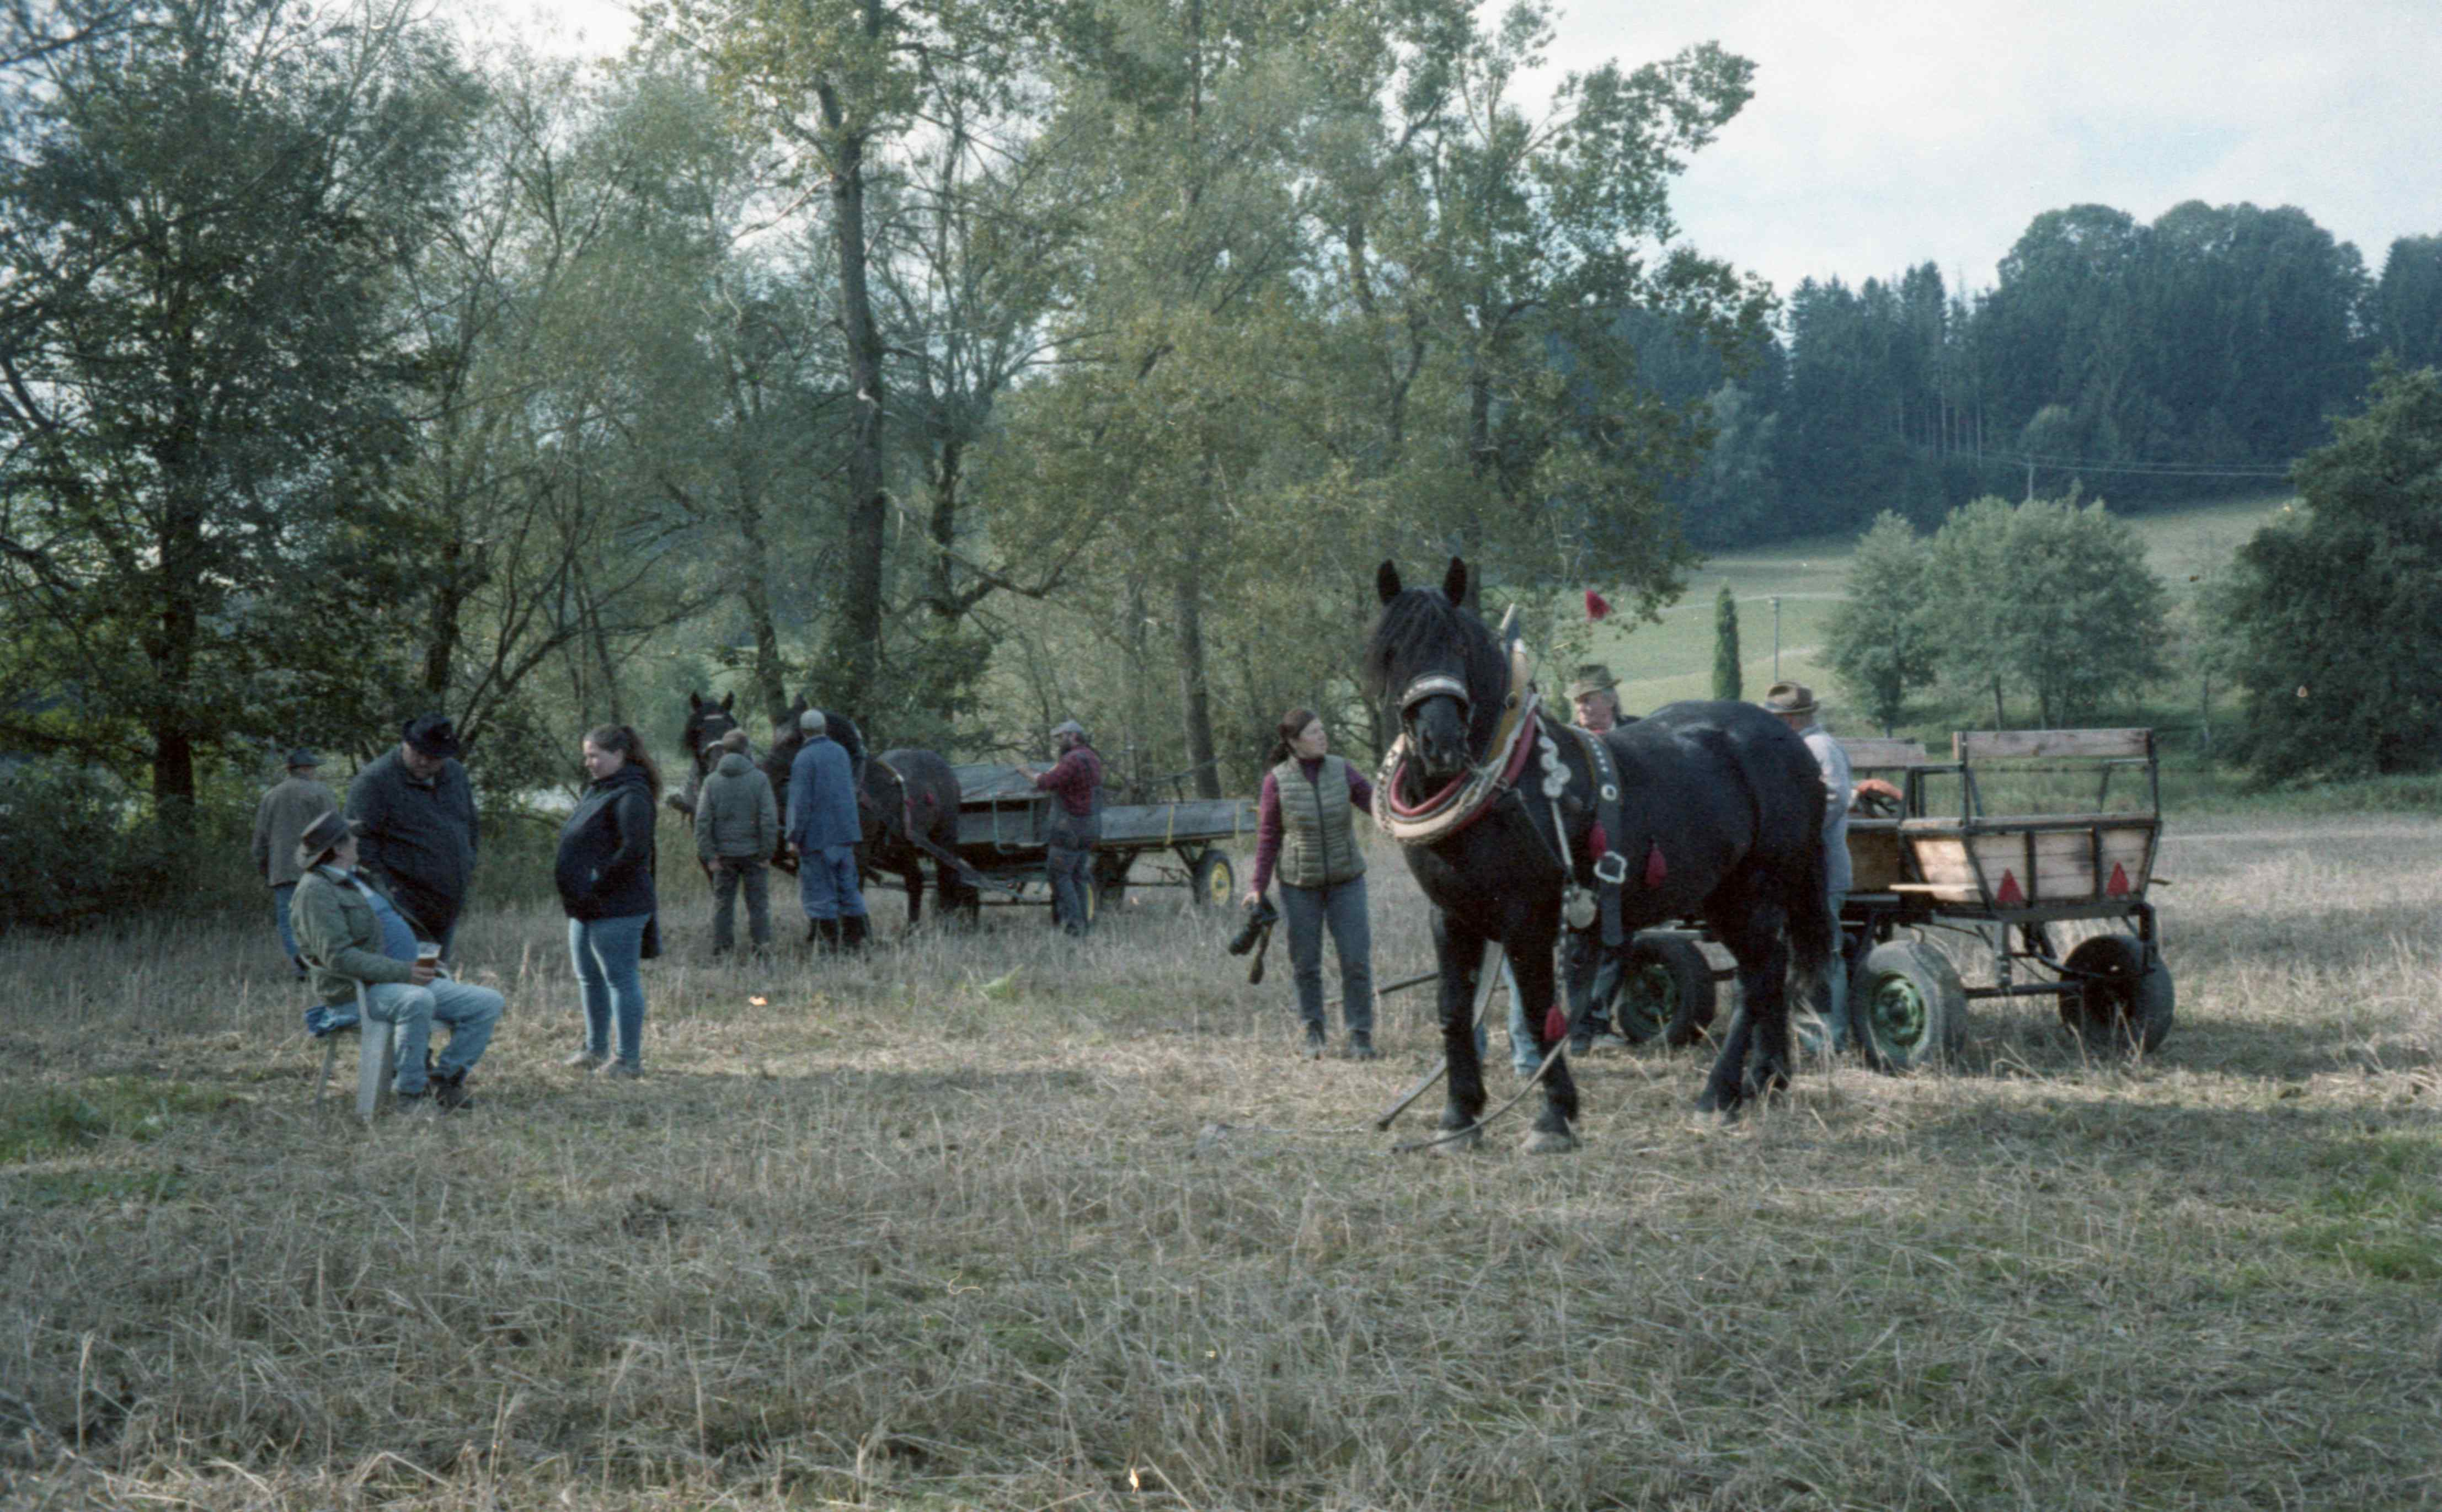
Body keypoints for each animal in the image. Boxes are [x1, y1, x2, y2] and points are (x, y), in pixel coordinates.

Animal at [1364, 557, 1833, 1138]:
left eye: (1460, 646)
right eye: (1393, 650)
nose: (1440, 743)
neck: (1509, 782)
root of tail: (1791, 745)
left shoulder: (1527, 917)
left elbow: (1540, 1012)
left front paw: (1553, 1116)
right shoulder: (1450, 914)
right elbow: (1452, 1008)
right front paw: (1458, 1114)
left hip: (1755, 891)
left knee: (1757, 978)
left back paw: (1719, 1092)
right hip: (1726, 895)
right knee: (1773, 972)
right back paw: (1766, 1078)